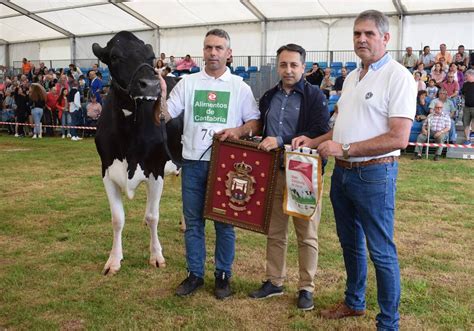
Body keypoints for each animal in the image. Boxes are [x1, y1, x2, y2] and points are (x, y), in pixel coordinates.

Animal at [92, 30, 181, 274]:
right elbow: (117, 218)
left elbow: (153, 216)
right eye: (114, 56)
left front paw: (156, 255)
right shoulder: (106, 171)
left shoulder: (156, 169)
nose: (150, 85)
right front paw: (114, 260)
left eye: (151, 57)